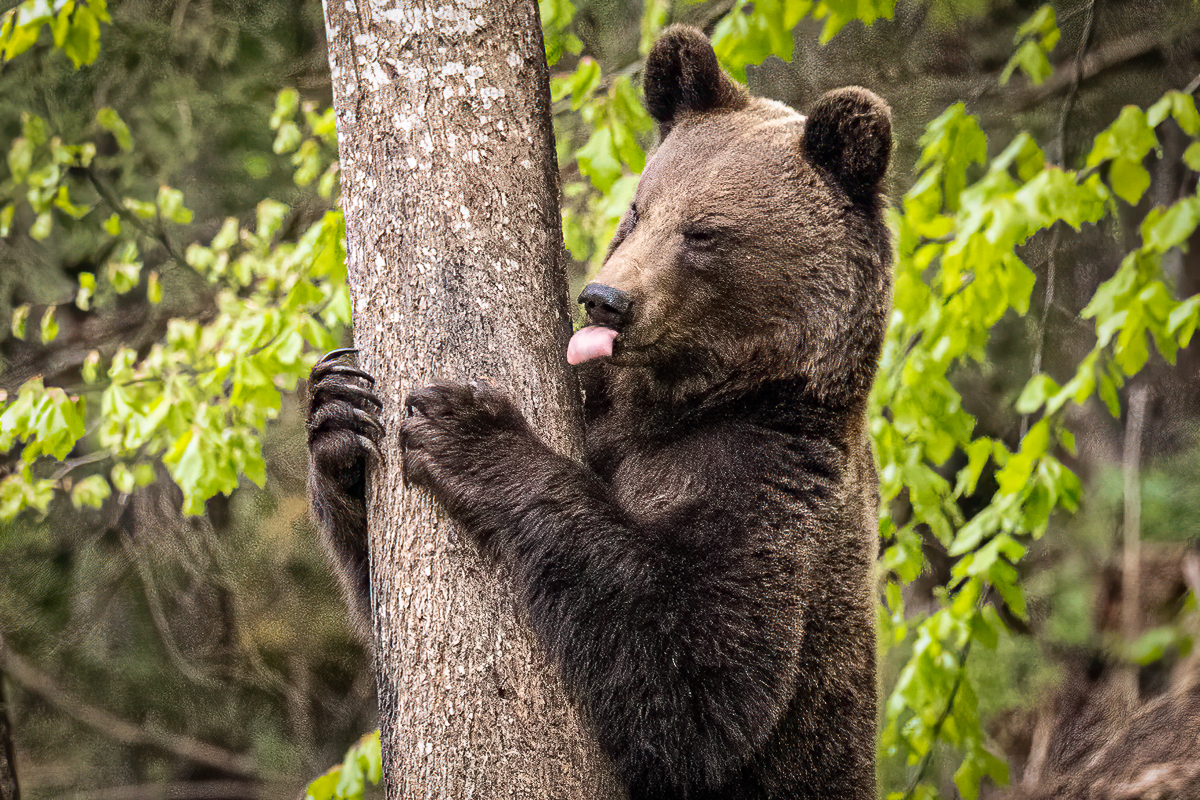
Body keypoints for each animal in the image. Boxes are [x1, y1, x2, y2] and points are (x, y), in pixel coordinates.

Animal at [307, 25, 892, 800]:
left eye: (704, 233)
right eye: (640, 208)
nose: (605, 299)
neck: (680, 403)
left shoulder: (767, 475)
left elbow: (698, 679)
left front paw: (466, 429)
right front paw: (339, 410)